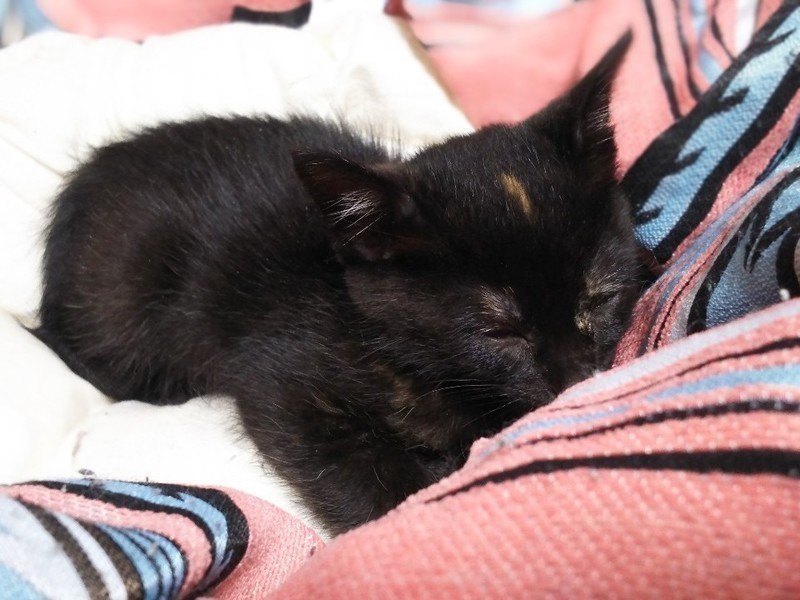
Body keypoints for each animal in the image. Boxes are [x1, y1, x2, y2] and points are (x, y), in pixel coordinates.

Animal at [34, 33, 642, 535]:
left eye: (599, 298)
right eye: (499, 330)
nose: (579, 379)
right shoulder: (277, 376)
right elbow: (356, 471)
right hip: (119, 310)